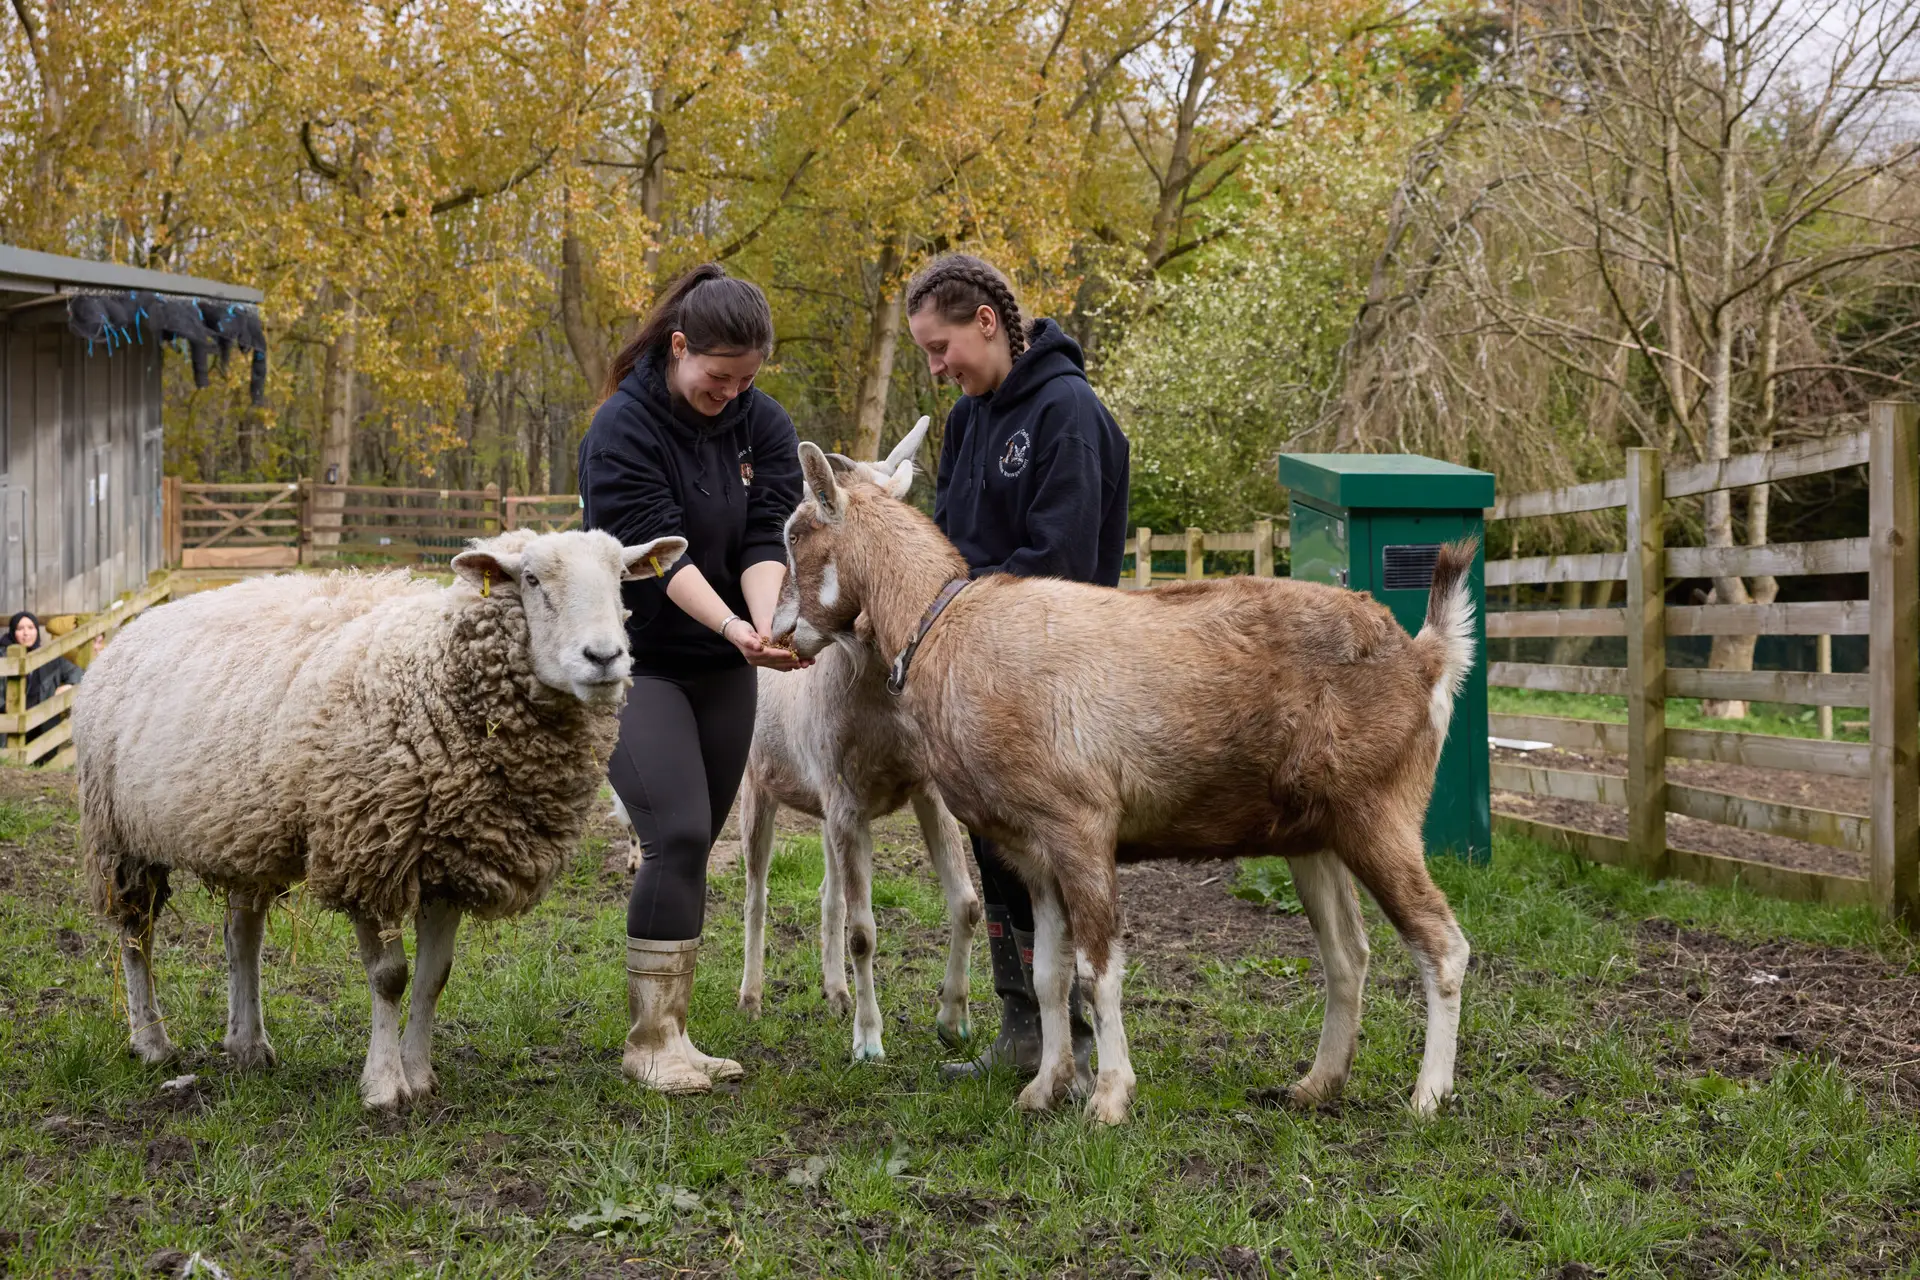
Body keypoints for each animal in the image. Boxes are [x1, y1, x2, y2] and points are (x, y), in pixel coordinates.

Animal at [73, 528, 686, 1112]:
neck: (430, 671)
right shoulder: (366, 851)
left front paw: (420, 1075)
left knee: (241, 935)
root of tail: (138, 621)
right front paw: (384, 1086)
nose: (605, 658)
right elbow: (390, 977)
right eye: (532, 579)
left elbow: (435, 977)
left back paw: (247, 1044)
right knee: (137, 934)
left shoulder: (452, 860)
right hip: (119, 836)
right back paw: (152, 1042)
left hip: (245, 831)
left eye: (622, 579)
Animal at [612, 419, 982, 1062]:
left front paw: (953, 1021)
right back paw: (752, 998)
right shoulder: (844, 800)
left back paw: (834, 994)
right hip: (758, 793)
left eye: (793, 532)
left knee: (828, 896)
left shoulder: (922, 791)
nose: (778, 632)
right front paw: (869, 1042)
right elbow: (864, 932)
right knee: (757, 896)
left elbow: (963, 903)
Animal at [773, 440, 1477, 1125]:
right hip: (1315, 834)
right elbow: (1049, 973)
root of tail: (1427, 656)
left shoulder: (1080, 829)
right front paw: (1045, 1089)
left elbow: (1098, 970)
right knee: (1347, 954)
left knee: (1442, 944)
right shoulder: (1033, 850)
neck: (945, 627)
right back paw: (1315, 1085)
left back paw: (1428, 1098)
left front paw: (1109, 1100)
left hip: (1379, 812)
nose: (783, 632)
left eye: (795, 532)